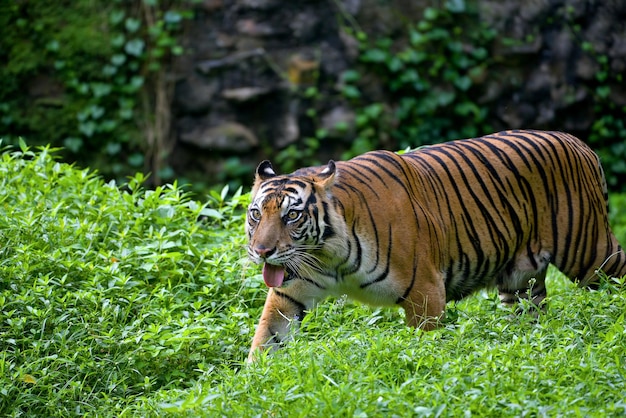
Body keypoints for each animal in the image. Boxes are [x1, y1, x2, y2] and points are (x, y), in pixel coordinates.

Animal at [245, 129, 624, 360]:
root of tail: (578, 141)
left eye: (292, 216)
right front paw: (253, 384)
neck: (326, 254)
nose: (262, 252)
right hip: (520, 283)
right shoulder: (290, 292)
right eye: (256, 214)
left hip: (590, 254)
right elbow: (267, 338)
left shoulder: (425, 292)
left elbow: (423, 349)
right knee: (532, 316)